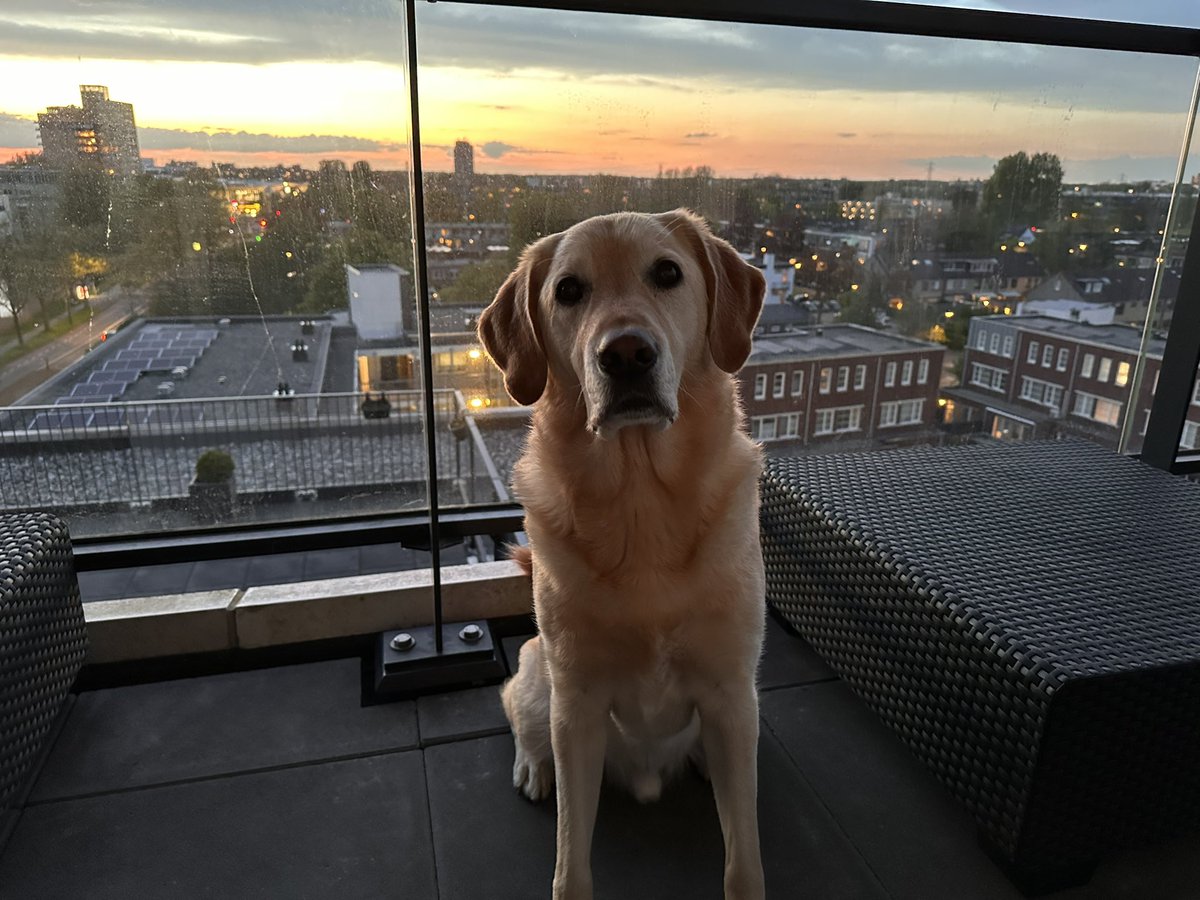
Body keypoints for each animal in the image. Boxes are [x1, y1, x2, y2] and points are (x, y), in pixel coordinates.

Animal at [477, 207, 768, 897]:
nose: (627, 354)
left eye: (667, 273)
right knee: (515, 709)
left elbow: (743, 858)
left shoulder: (731, 693)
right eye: (568, 290)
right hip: (541, 686)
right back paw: (533, 769)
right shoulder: (578, 706)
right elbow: (569, 864)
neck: (642, 502)